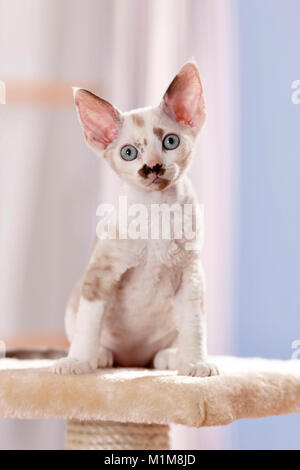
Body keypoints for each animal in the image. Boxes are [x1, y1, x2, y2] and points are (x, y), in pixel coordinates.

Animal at [52, 61, 218, 378]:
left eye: (170, 141)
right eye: (129, 153)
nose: (152, 166)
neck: (156, 210)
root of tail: (133, 361)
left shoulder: (190, 275)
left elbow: (194, 327)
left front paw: (195, 364)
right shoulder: (100, 274)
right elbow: (88, 326)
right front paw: (77, 362)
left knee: (160, 352)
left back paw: (170, 358)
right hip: (76, 296)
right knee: (96, 339)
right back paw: (100, 357)